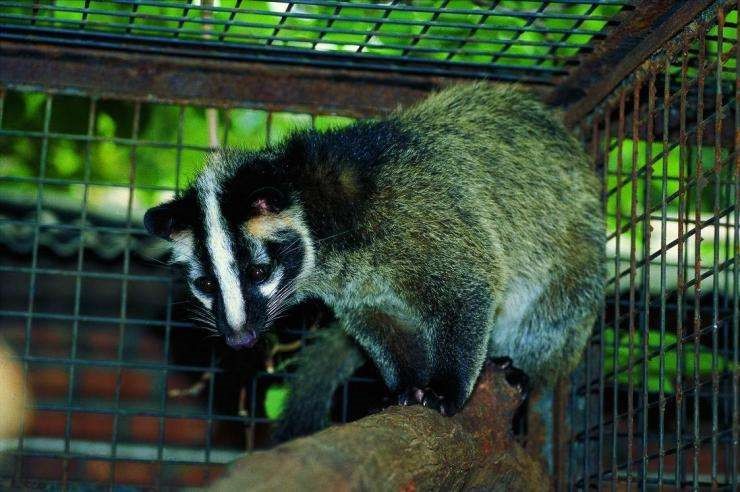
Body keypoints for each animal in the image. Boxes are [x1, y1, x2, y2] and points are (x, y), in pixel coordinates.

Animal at [143, 82, 604, 442]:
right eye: (206, 284)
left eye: (259, 272)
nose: (239, 339)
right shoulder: (360, 293)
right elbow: (378, 326)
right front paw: (406, 386)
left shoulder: (427, 219)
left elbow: (468, 287)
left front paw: (446, 387)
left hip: (578, 261)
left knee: (555, 314)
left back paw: (523, 365)